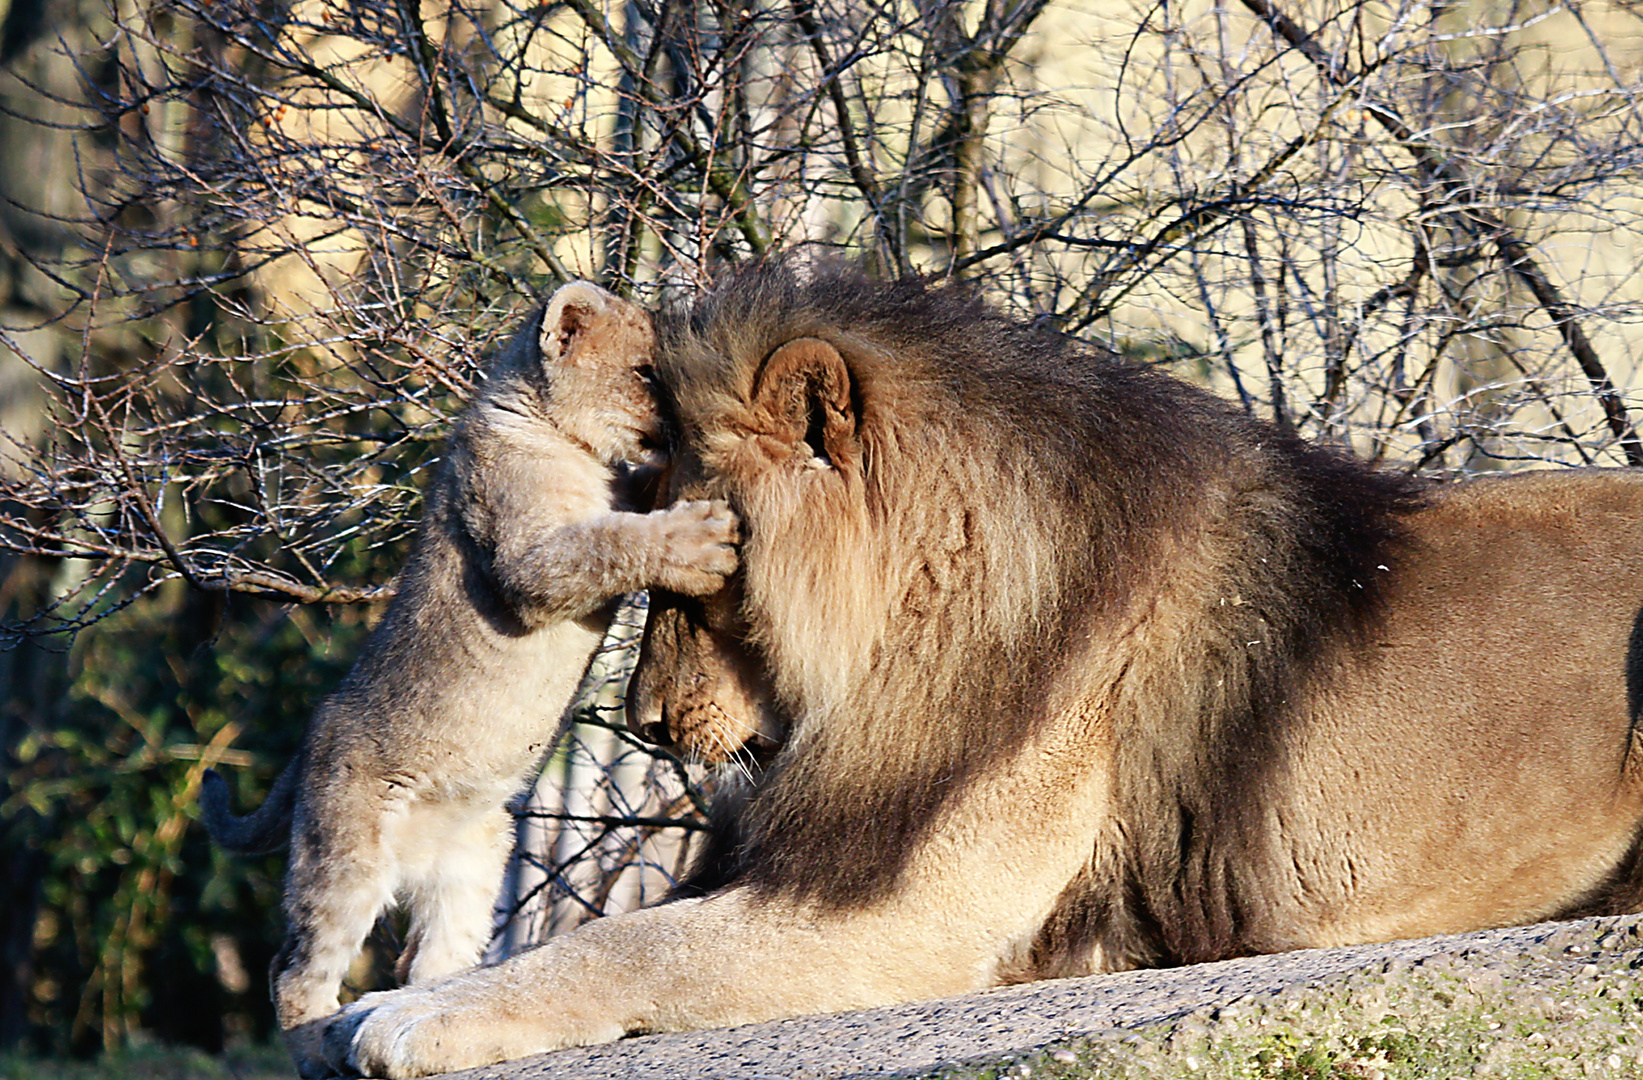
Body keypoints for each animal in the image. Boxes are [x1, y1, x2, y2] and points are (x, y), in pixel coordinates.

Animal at [326, 259, 1643, 1078]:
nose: (645, 724)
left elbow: (625, 945)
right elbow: (612, 937)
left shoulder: (912, 915)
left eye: (704, 569)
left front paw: (399, 1015)